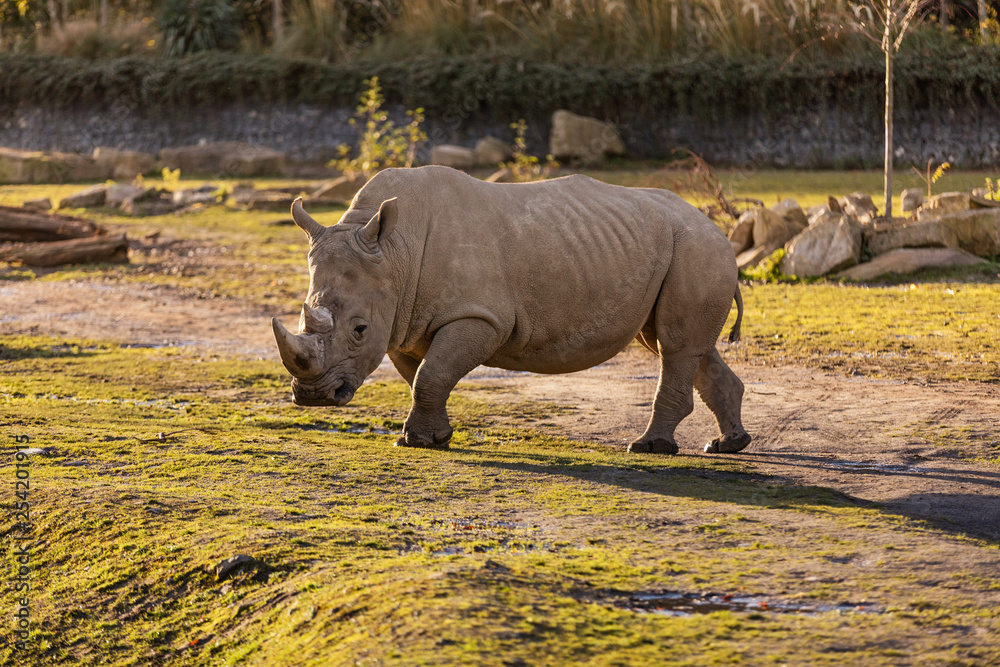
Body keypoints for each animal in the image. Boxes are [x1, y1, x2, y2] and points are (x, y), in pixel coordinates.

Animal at [272, 166, 751, 454]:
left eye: (358, 330)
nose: (313, 397)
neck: (393, 254)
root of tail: (715, 227)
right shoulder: (403, 321)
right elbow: (421, 376)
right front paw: (436, 438)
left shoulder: (478, 315)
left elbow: (431, 375)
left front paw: (416, 442)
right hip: (678, 248)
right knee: (678, 344)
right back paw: (728, 445)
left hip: (696, 246)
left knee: (674, 344)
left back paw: (649, 448)